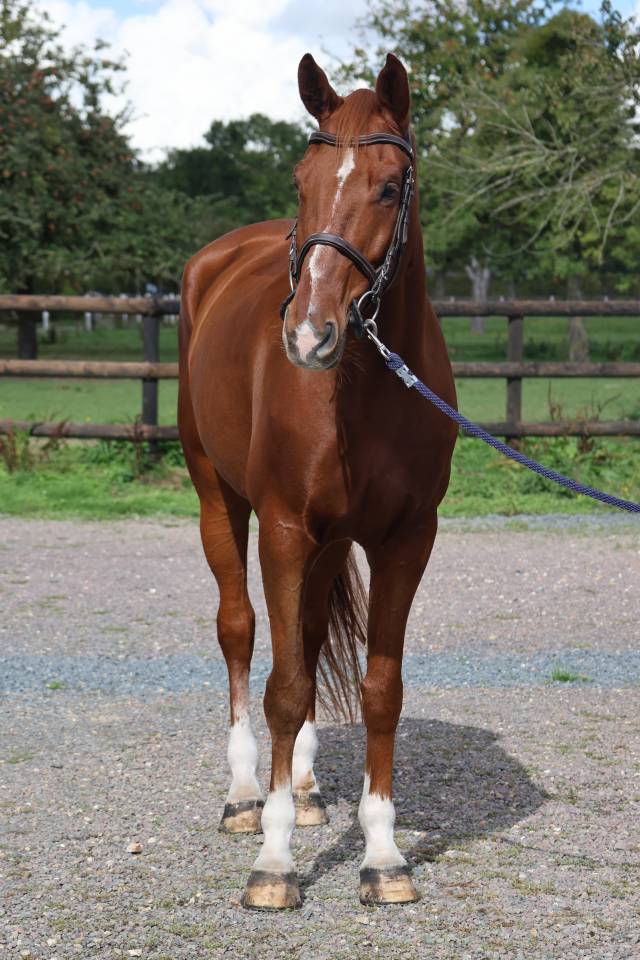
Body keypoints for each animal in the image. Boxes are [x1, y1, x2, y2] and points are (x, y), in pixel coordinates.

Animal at [178, 52, 457, 909]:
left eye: (390, 187)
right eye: (301, 182)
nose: (307, 334)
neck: (364, 390)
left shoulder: (406, 538)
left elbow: (377, 689)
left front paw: (384, 856)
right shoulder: (285, 527)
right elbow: (284, 686)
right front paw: (272, 864)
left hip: (330, 545)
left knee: (303, 636)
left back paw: (297, 790)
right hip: (219, 499)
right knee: (241, 633)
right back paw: (246, 795)